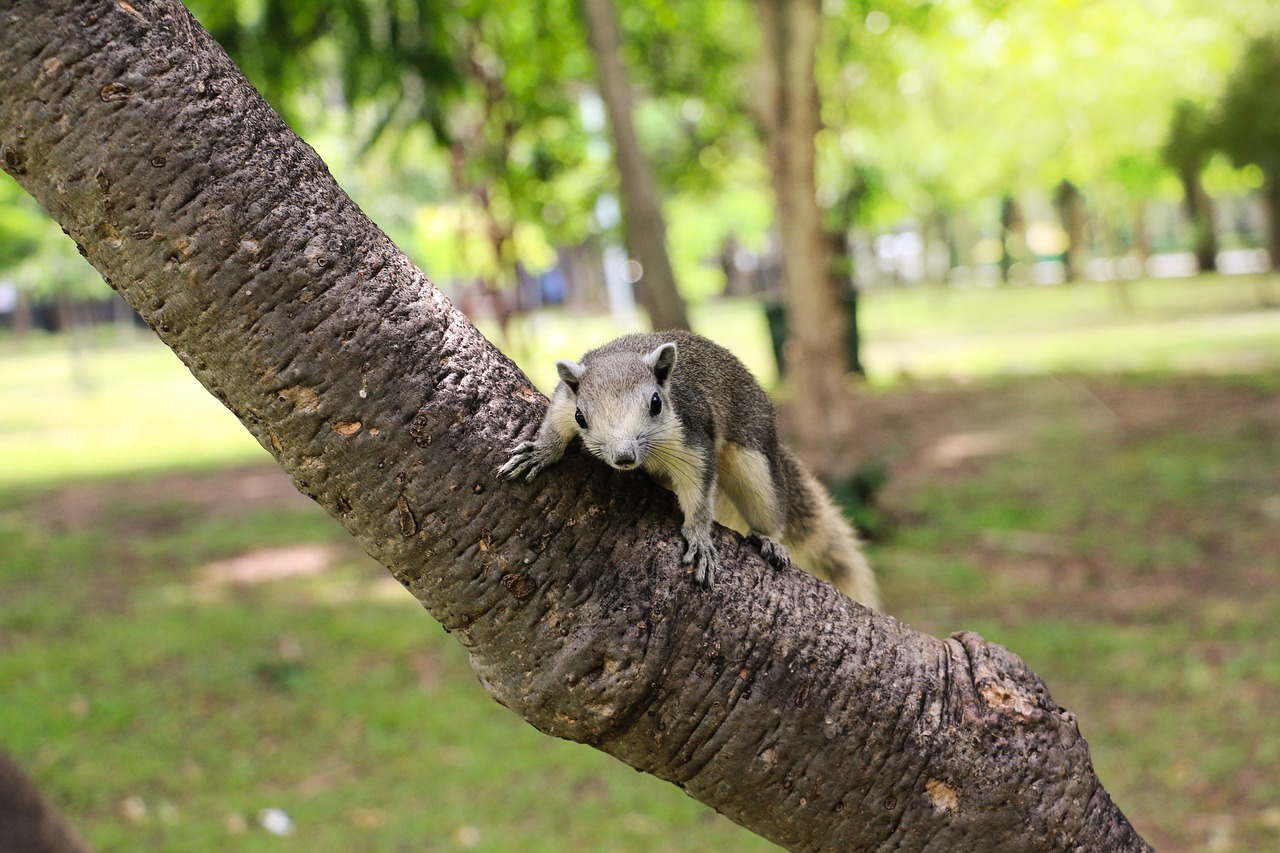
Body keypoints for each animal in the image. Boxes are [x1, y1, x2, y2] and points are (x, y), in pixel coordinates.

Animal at [499, 326, 880, 604]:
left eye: (656, 403)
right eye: (581, 416)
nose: (624, 457)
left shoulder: (693, 440)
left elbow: (698, 494)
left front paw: (698, 538)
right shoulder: (563, 401)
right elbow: (553, 428)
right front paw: (541, 451)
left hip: (756, 458)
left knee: (767, 504)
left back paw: (770, 540)